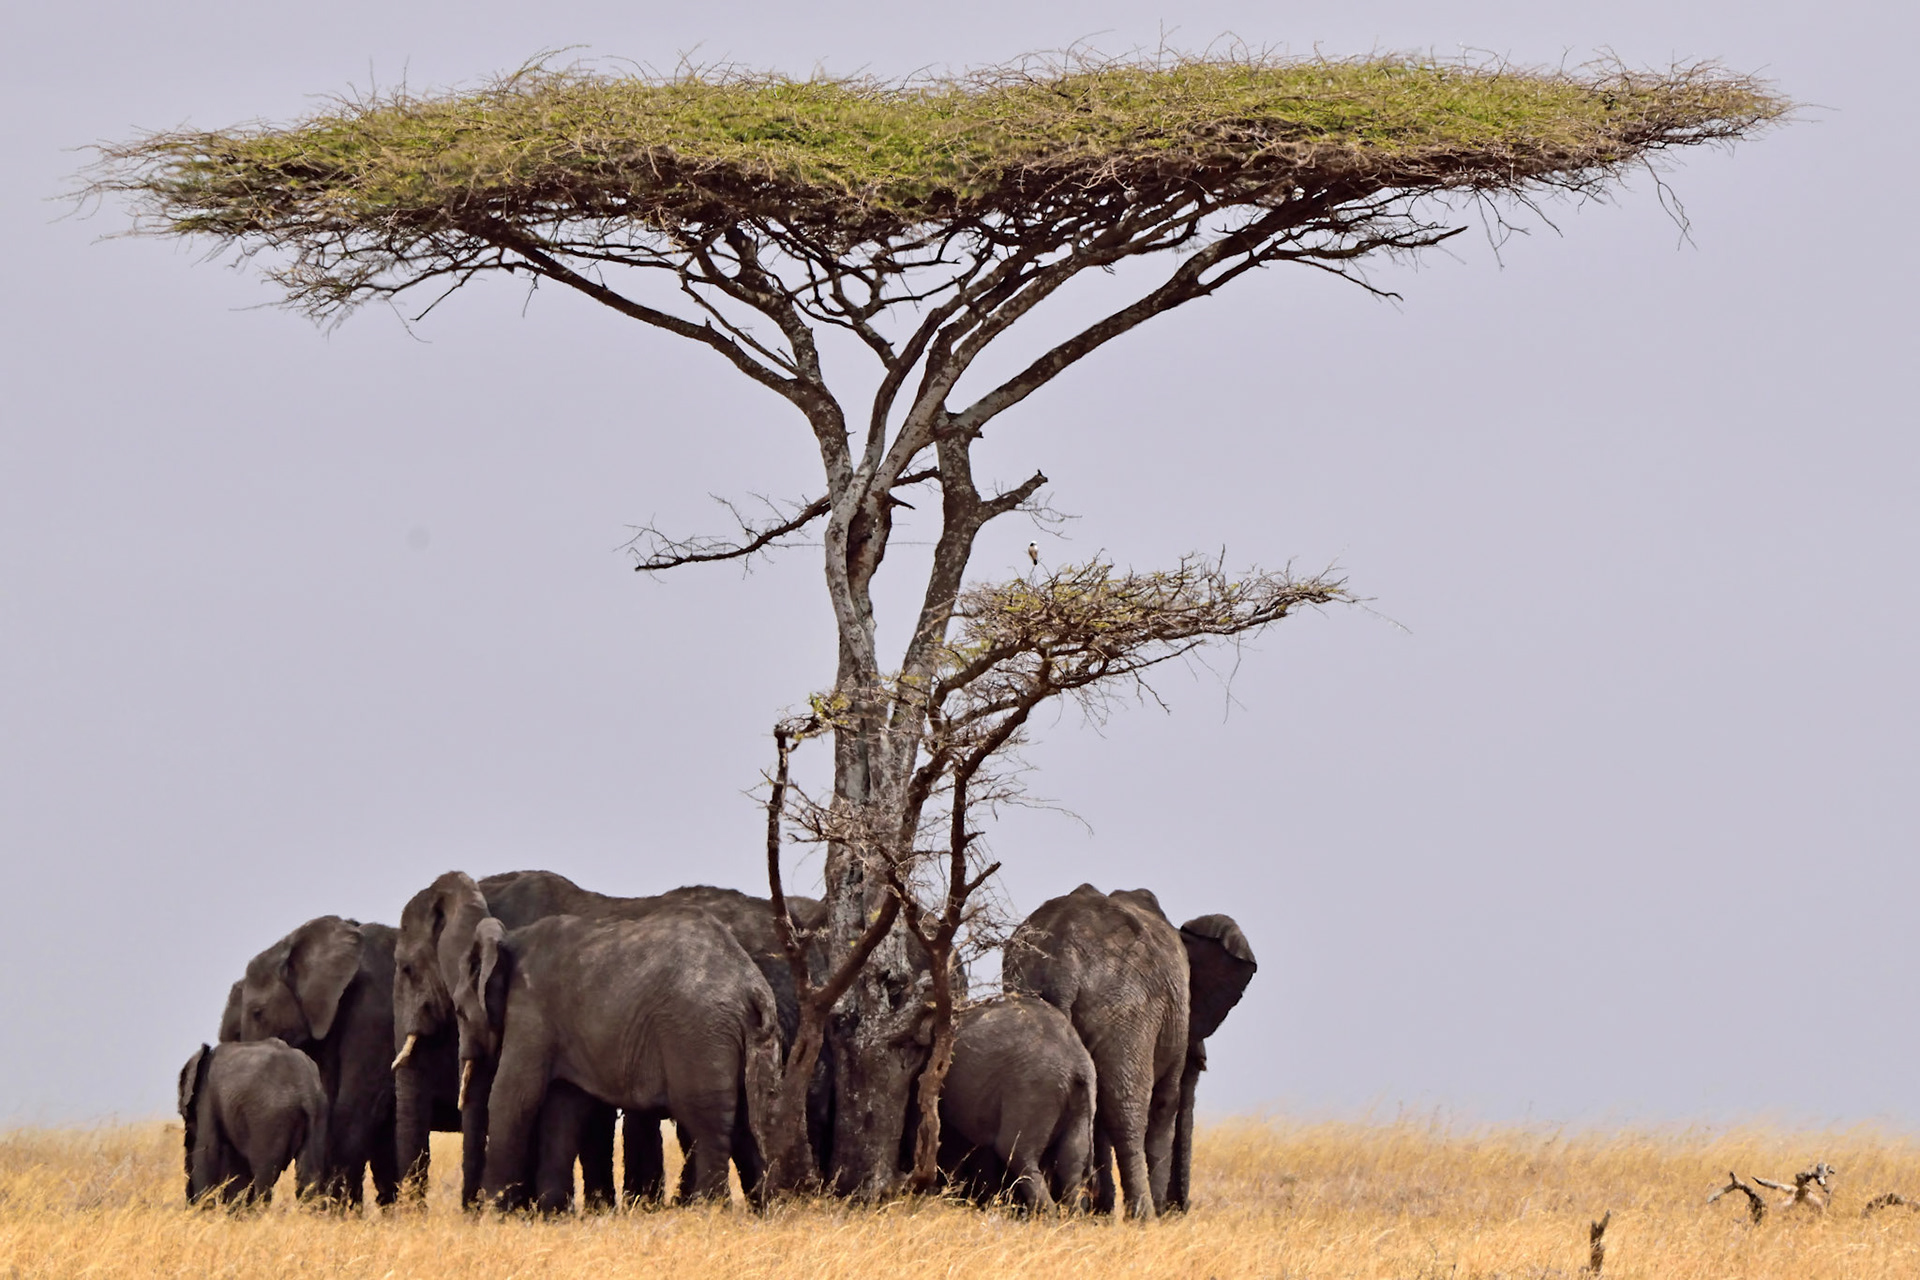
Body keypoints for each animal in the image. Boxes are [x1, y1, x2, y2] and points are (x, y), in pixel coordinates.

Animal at [179, 1039, 327, 1207]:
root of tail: (306, 1091)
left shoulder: (206, 1102)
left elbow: (206, 1156)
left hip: (268, 1119)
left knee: (264, 1177)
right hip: (318, 1113)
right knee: (309, 1176)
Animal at [454, 905, 783, 1210]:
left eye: (458, 1012)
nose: (473, 1208)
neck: (509, 941)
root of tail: (751, 986)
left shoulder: (530, 1009)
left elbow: (514, 1097)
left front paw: (495, 1214)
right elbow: (563, 1106)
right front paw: (553, 1215)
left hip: (699, 1032)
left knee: (708, 1126)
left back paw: (710, 1211)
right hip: (751, 1034)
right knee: (749, 1123)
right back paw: (764, 1211)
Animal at [934, 995, 1095, 1213]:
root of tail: (1077, 1063)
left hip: (1033, 1086)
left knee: (1014, 1150)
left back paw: (1046, 1215)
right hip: (1082, 1098)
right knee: (1071, 1159)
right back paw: (1072, 1216)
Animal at [1003, 884, 1189, 1219]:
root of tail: (1064, 961)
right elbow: (1165, 1102)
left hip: (1032, 988)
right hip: (1128, 1009)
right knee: (1126, 1108)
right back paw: (1143, 1216)